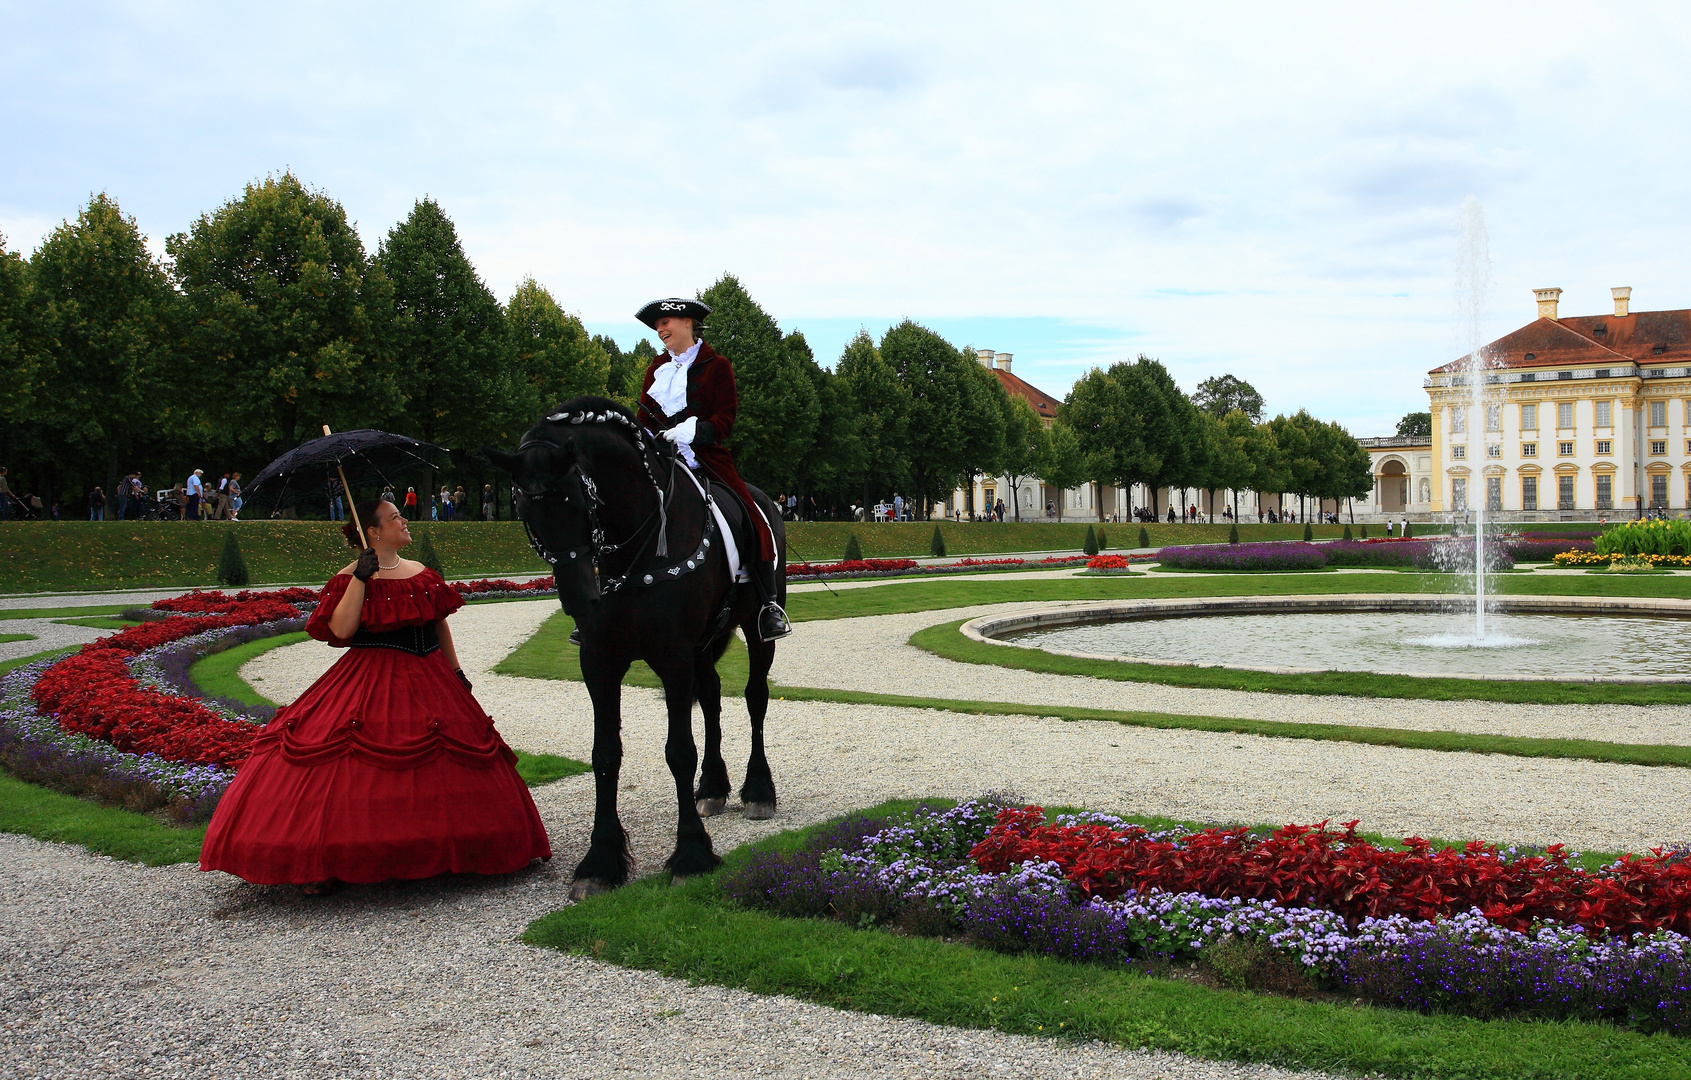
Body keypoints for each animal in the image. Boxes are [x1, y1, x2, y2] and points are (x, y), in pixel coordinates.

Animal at [483, 402, 784, 899]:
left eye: (578, 501)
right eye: (525, 509)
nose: (580, 599)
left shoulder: (673, 657)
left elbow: (678, 751)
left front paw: (691, 853)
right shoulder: (600, 661)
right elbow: (605, 753)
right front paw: (601, 861)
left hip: (756, 631)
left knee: (755, 698)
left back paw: (758, 789)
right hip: (703, 645)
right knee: (713, 699)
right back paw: (712, 787)